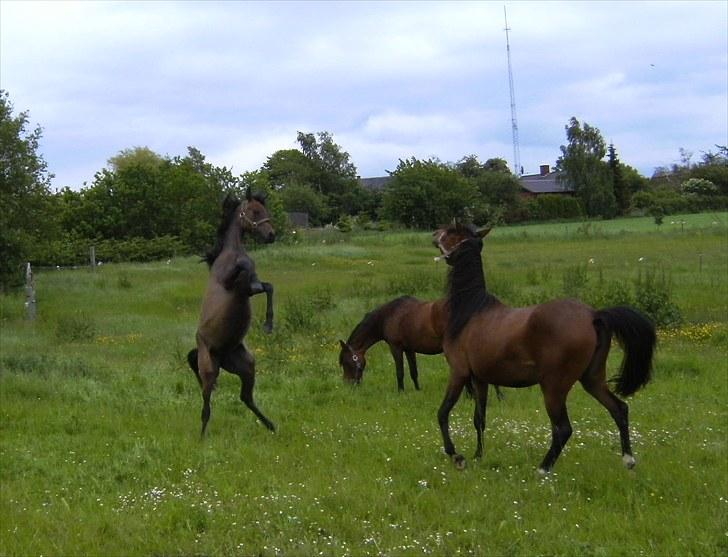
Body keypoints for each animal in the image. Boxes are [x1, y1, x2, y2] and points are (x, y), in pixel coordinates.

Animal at [186, 191, 278, 434]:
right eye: (254, 211)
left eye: (265, 210)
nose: (271, 235)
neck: (232, 253)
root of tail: (219, 355)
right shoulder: (232, 284)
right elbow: (245, 267)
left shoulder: (249, 290)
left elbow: (268, 287)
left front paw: (268, 325)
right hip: (209, 371)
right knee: (206, 406)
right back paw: (201, 437)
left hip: (247, 367)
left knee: (245, 398)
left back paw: (271, 425)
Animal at [432, 220, 656, 470]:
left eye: (451, 231)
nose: (434, 234)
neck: (471, 310)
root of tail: (593, 315)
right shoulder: (480, 378)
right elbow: (479, 419)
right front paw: (478, 456)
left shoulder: (459, 372)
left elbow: (443, 413)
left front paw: (456, 455)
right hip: (592, 379)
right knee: (619, 409)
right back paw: (628, 459)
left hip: (553, 387)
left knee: (564, 429)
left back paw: (543, 468)